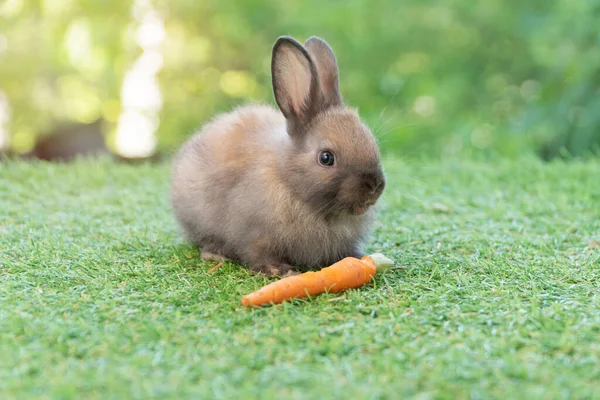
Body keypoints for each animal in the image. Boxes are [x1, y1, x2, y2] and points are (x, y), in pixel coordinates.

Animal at [170, 36, 384, 276]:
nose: (375, 186)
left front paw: (357, 257)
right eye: (326, 158)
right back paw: (216, 254)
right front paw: (281, 271)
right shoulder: (255, 234)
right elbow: (259, 253)